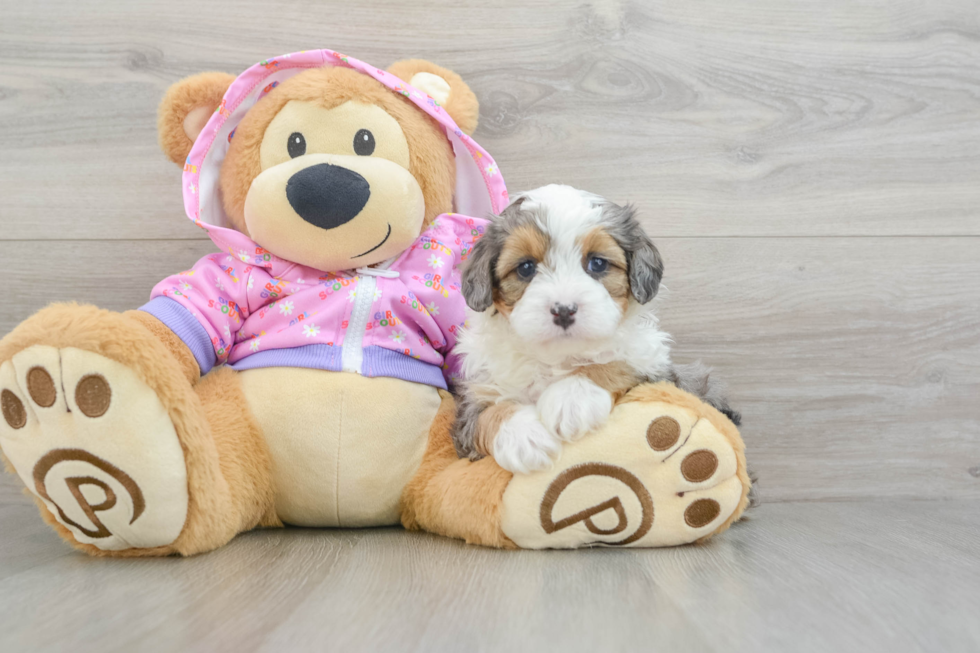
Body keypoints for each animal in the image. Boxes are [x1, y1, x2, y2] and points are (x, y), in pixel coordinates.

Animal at [452, 183, 736, 474]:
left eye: (597, 263)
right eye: (526, 268)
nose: (564, 310)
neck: (558, 357)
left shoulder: (657, 368)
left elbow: (615, 363)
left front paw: (572, 398)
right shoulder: (476, 393)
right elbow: (485, 413)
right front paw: (523, 436)